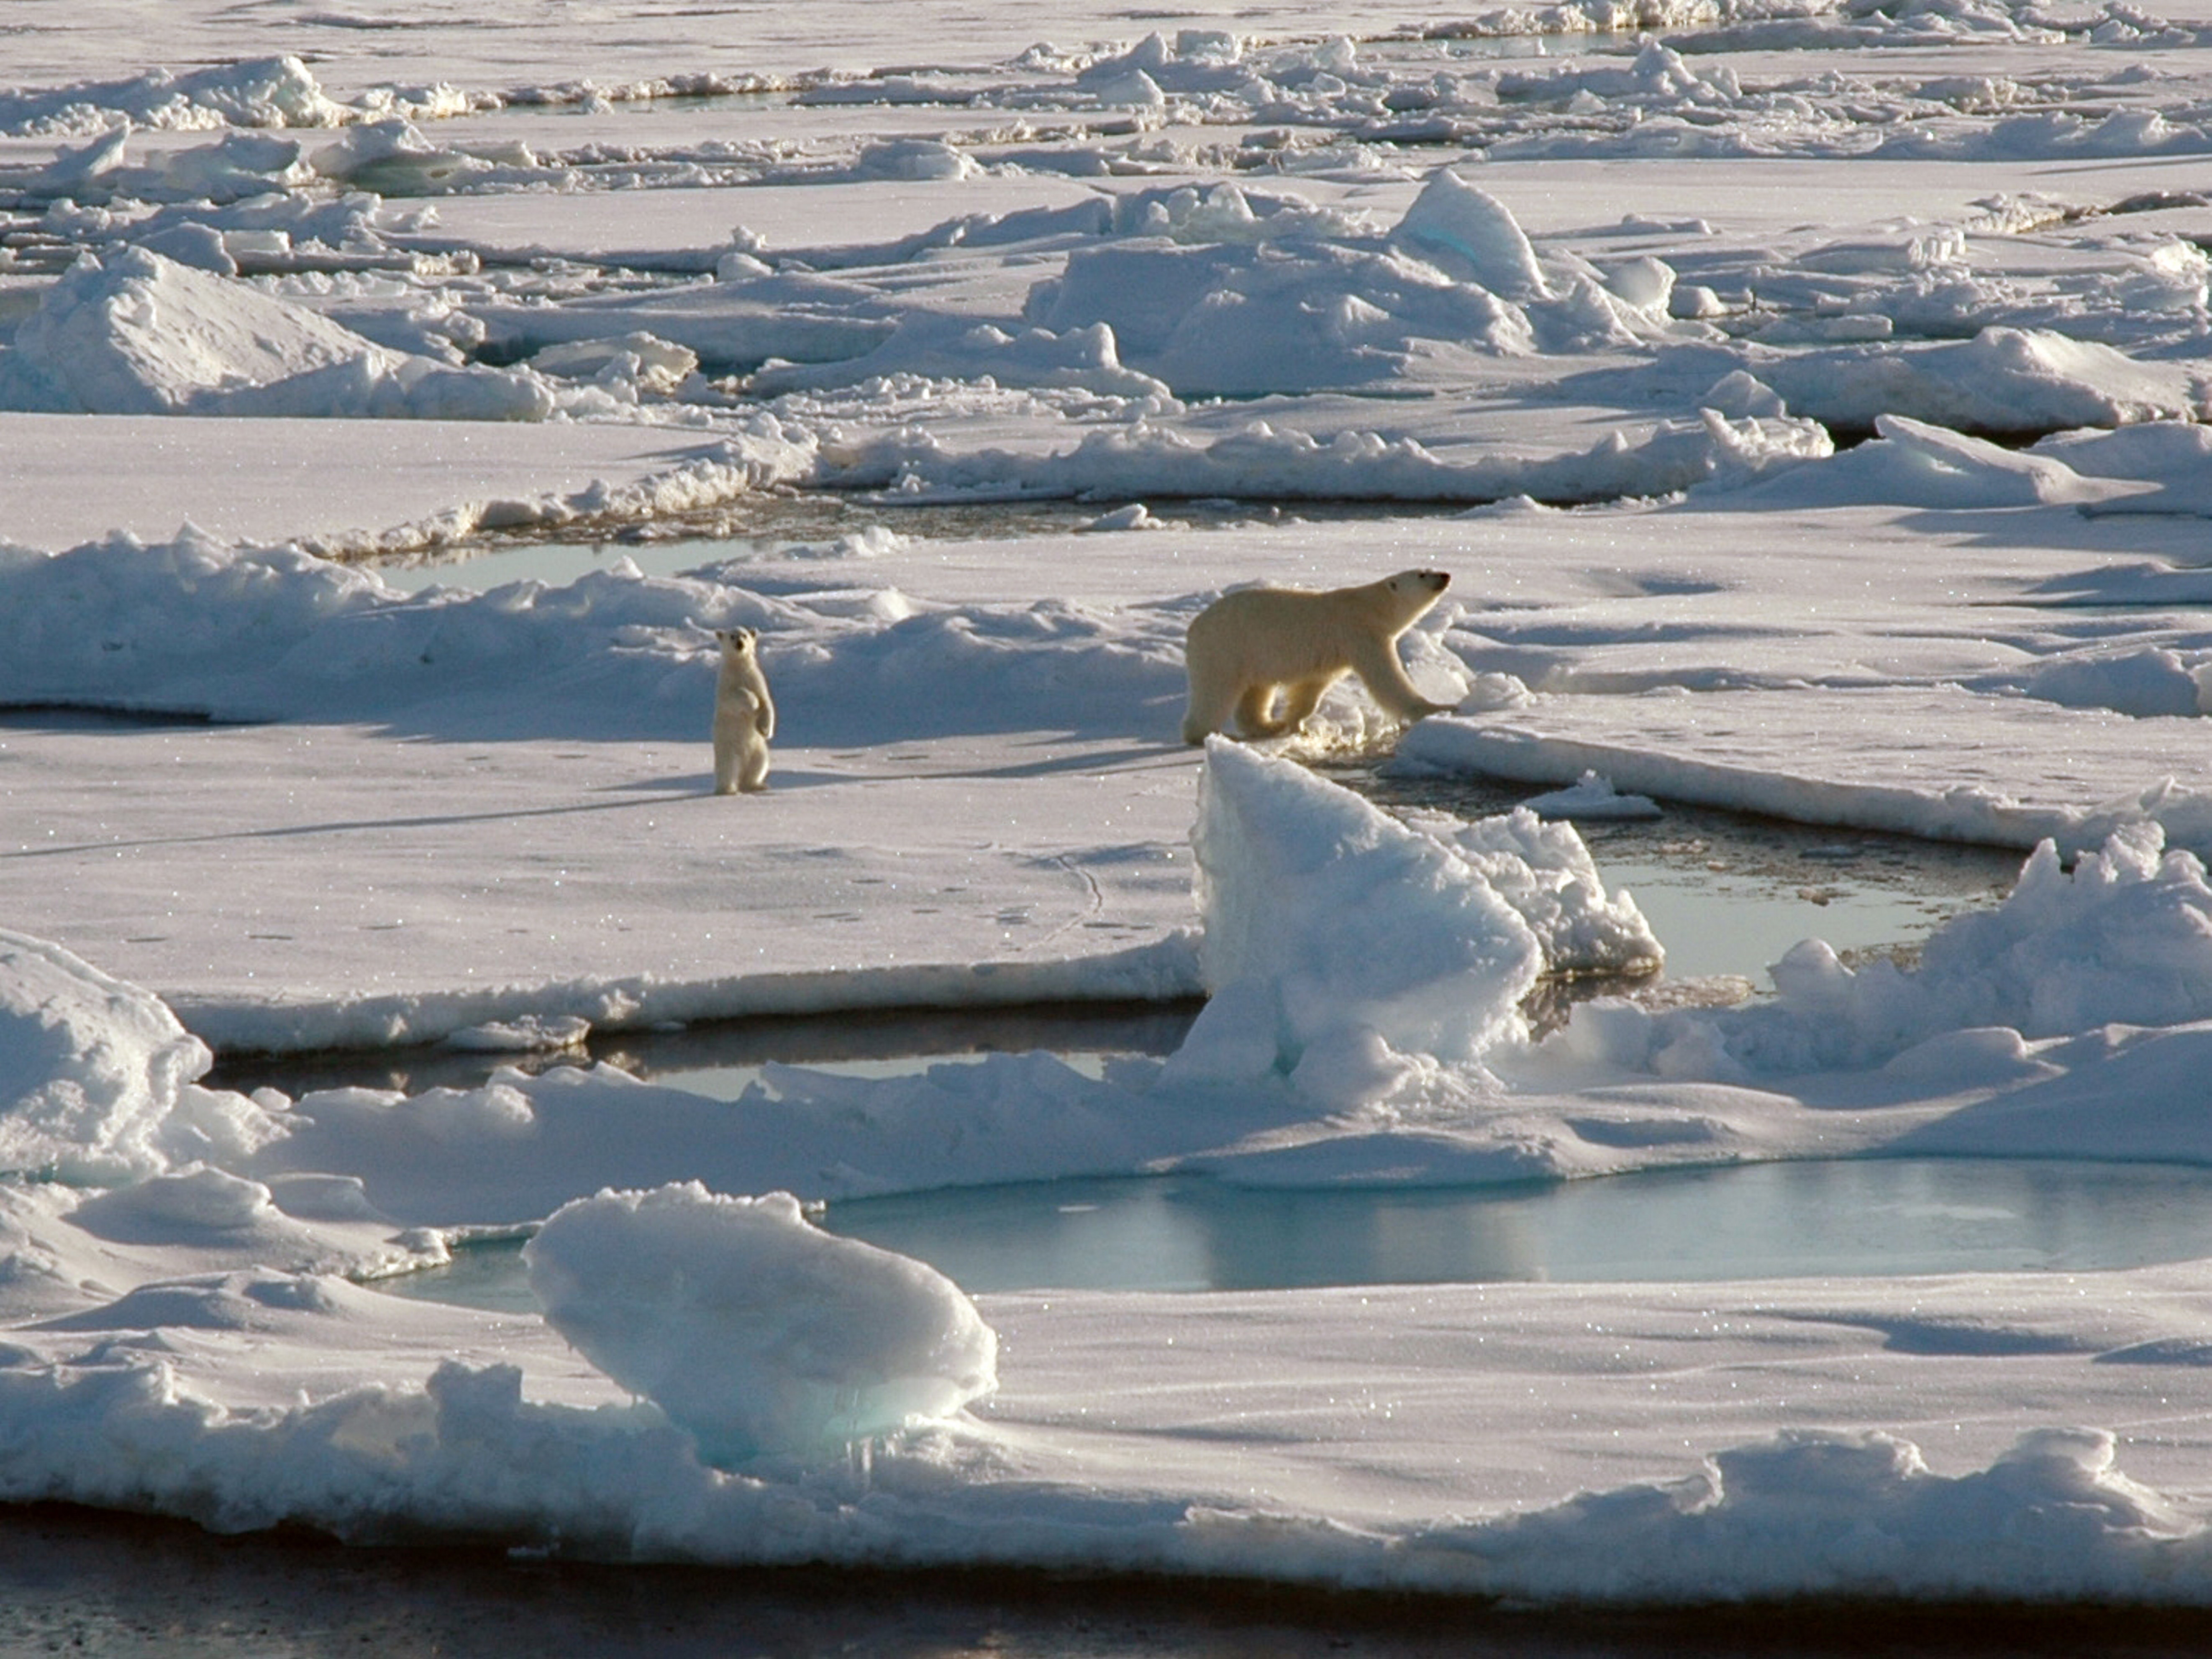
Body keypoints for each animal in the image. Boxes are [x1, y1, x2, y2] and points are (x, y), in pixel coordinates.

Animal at [1185, 571, 1460, 748]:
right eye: (1422, 575)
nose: (1445, 575)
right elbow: (1387, 679)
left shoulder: (1332, 654)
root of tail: (1195, 626)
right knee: (1216, 691)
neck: (1372, 606)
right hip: (1226, 648)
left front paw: (1296, 724)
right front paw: (1439, 708)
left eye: (1430, 569)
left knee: (1256, 692)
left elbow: (1311, 689)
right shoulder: (1360, 634)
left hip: (1252, 656)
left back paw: (1268, 726)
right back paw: (1201, 735)